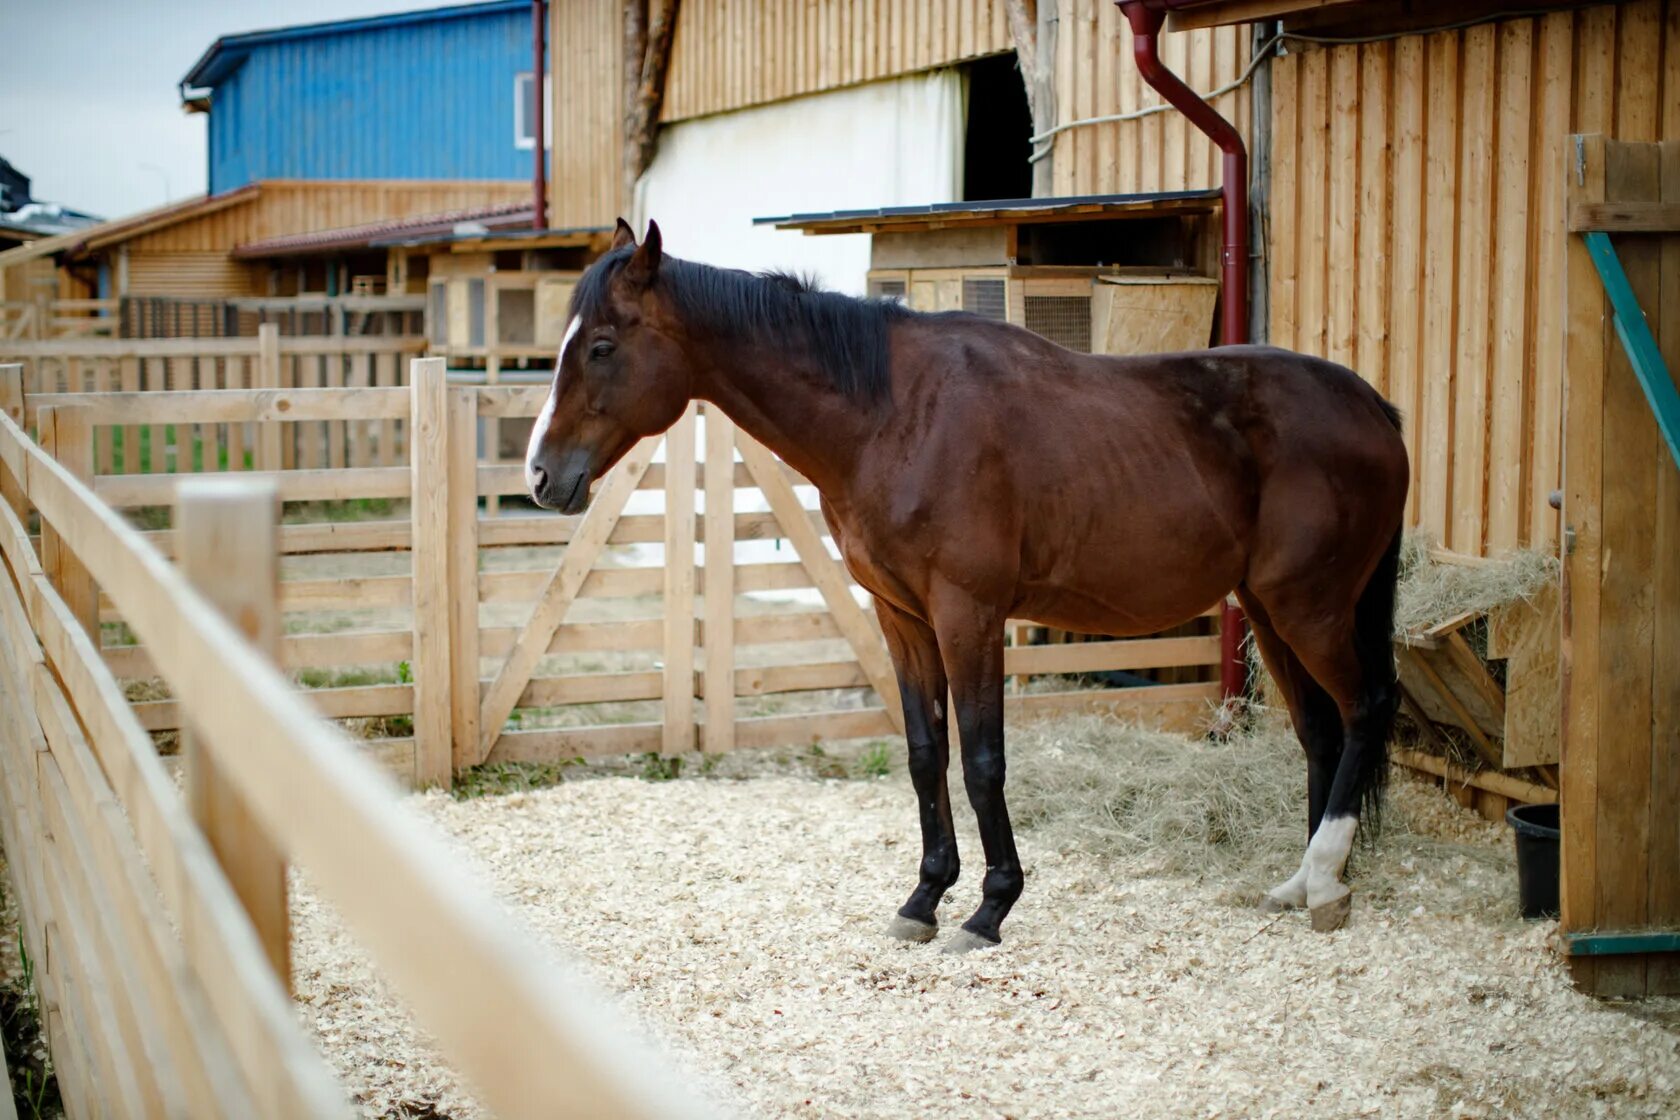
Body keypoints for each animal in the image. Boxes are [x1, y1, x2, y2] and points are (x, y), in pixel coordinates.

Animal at [520, 221, 1404, 953]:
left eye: (602, 346)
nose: (540, 475)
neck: (892, 416)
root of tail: (1375, 409)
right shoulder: (902, 617)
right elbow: (924, 755)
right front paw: (923, 899)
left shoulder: (967, 613)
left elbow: (981, 760)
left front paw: (990, 907)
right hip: (1270, 611)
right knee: (1321, 732)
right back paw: (1309, 885)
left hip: (1311, 611)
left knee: (1365, 709)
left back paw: (1325, 873)